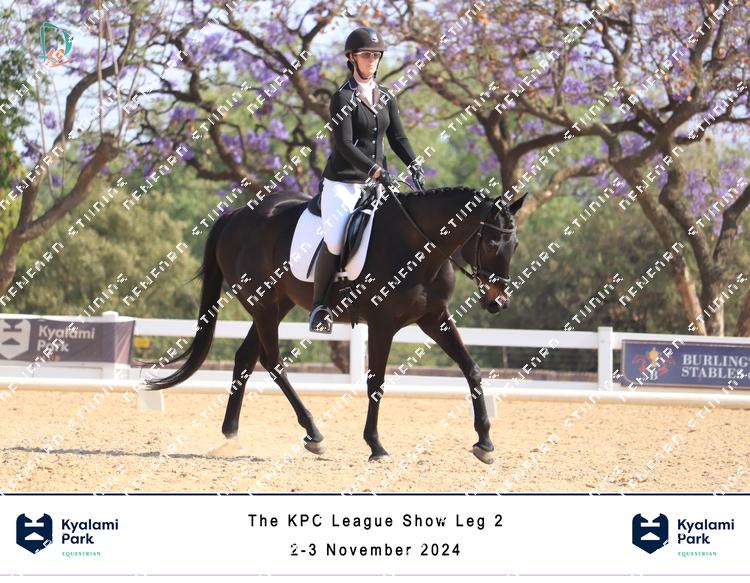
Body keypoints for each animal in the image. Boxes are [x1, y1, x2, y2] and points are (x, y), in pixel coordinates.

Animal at [143, 182, 525, 464]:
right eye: (492, 243)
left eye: (515, 244)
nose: (498, 302)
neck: (417, 244)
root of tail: (237, 214)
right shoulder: (382, 324)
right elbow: (377, 382)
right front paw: (375, 445)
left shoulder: (434, 319)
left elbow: (471, 368)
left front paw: (484, 442)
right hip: (262, 304)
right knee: (271, 361)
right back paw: (313, 434)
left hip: (276, 304)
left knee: (246, 358)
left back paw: (232, 434)